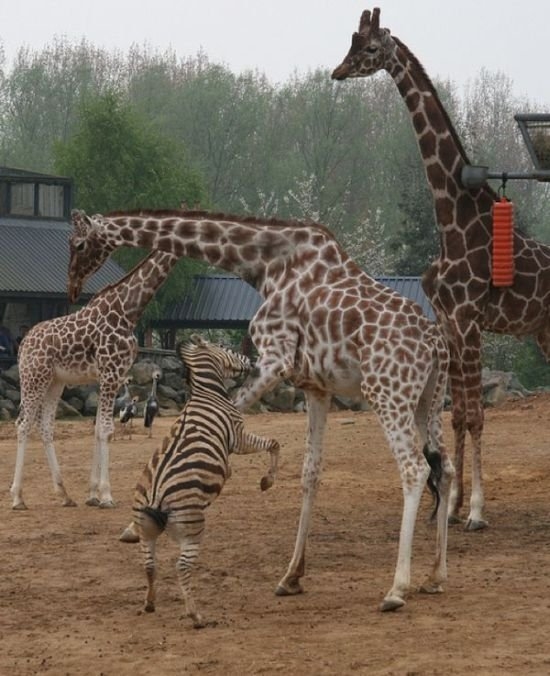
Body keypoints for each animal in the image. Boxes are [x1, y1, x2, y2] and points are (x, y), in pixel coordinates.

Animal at [10, 251, 177, 510]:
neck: (128, 309)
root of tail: (23, 344)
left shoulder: (111, 376)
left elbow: (98, 427)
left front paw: (93, 494)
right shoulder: (110, 372)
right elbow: (107, 429)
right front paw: (106, 495)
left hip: (55, 382)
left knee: (46, 426)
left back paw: (65, 495)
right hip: (34, 377)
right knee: (23, 424)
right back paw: (18, 498)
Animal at [123, 336, 282, 628]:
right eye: (227, 348)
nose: (254, 361)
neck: (207, 392)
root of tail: (155, 495)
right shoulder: (239, 437)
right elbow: (273, 444)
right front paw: (267, 481)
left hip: (145, 527)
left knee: (150, 564)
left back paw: (150, 603)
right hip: (193, 526)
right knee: (181, 566)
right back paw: (195, 615)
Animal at [332, 6, 550, 532]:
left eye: (371, 48)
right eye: (350, 42)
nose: (337, 72)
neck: (452, 219)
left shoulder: (470, 320)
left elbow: (476, 415)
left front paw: (476, 512)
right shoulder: (449, 320)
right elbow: (455, 415)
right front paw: (450, 507)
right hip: (543, 331)